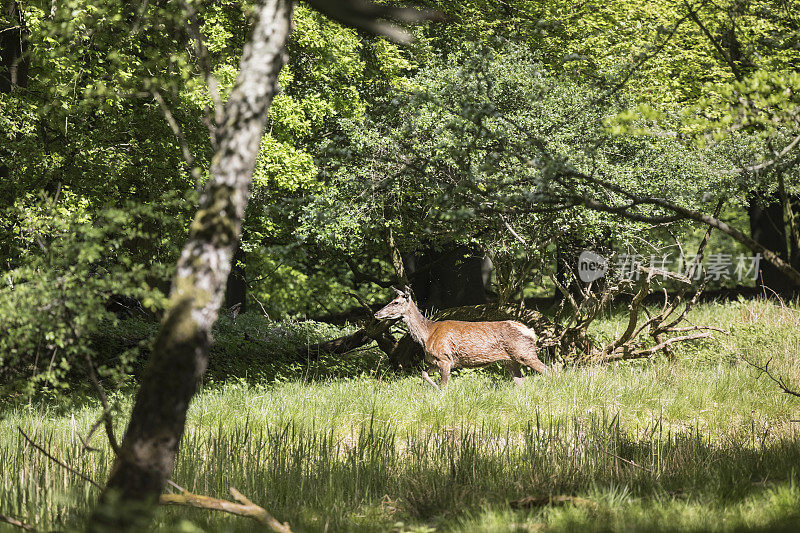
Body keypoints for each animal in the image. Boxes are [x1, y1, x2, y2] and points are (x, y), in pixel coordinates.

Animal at [376, 286, 552, 386]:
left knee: (549, 371)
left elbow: (444, 386)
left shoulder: (445, 358)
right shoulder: (436, 360)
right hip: (509, 360)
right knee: (520, 380)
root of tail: (531, 331)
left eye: (396, 302)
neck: (427, 335)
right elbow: (424, 373)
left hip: (525, 353)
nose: (377, 313)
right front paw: (433, 388)